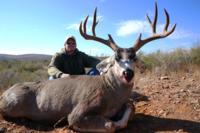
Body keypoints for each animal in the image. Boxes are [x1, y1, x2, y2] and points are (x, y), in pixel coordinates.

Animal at [0, 2, 175, 132]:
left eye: (134, 57)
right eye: (116, 58)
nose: (128, 73)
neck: (111, 93)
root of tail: (4, 93)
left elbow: (131, 107)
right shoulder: (78, 112)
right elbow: (110, 125)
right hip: (13, 103)